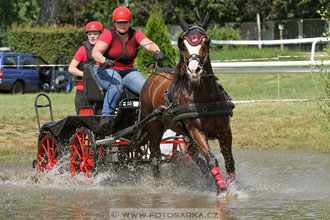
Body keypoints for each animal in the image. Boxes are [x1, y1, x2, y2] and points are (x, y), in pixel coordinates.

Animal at [139, 14, 235, 196]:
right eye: (183, 44)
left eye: (205, 41)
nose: (193, 70)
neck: (205, 98)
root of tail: (152, 76)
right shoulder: (196, 131)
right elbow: (212, 160)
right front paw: (221, 189)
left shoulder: (225, 131)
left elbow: (228, 160)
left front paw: (232, 188)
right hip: (154, 127)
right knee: (154, 155)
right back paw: (157, 183)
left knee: (191, 153)